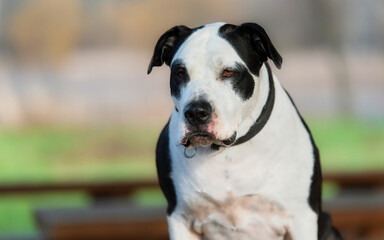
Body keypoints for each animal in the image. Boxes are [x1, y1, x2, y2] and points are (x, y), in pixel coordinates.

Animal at [148, 22, 342, 240]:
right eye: (180, 73)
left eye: (229, 72)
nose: (196, 112)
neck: (229, 153)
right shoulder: (181, 218)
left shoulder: (301, 218)